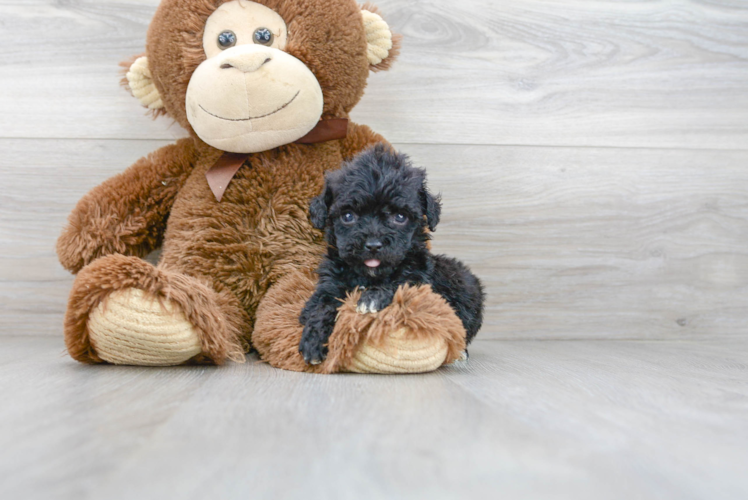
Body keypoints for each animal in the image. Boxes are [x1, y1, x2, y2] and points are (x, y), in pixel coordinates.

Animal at [298, 144, 486, 364]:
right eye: (348, 216)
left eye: (400, 217)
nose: (373, 245)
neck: (369, 277)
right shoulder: (330, 284)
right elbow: (322, 304)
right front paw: (313, 338)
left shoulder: (419, 280)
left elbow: (400, 284)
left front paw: (373, 298)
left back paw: (461, 353)